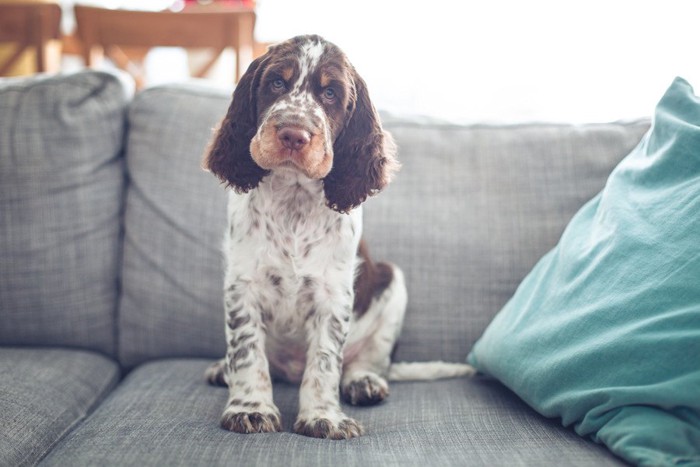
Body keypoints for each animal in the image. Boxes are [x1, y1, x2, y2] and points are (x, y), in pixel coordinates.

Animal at [202, 34, 476, 440]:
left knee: (366, 361)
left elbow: (326, 362)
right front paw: (250, 409)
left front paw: (323, 417)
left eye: (330, 93)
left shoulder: (334, 294)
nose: (293, 134)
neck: (293, 199)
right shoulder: (243, 285)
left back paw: (364, 382)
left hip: (393, 284)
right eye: (276, 83)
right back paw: (223, 369)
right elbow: (247, 351)